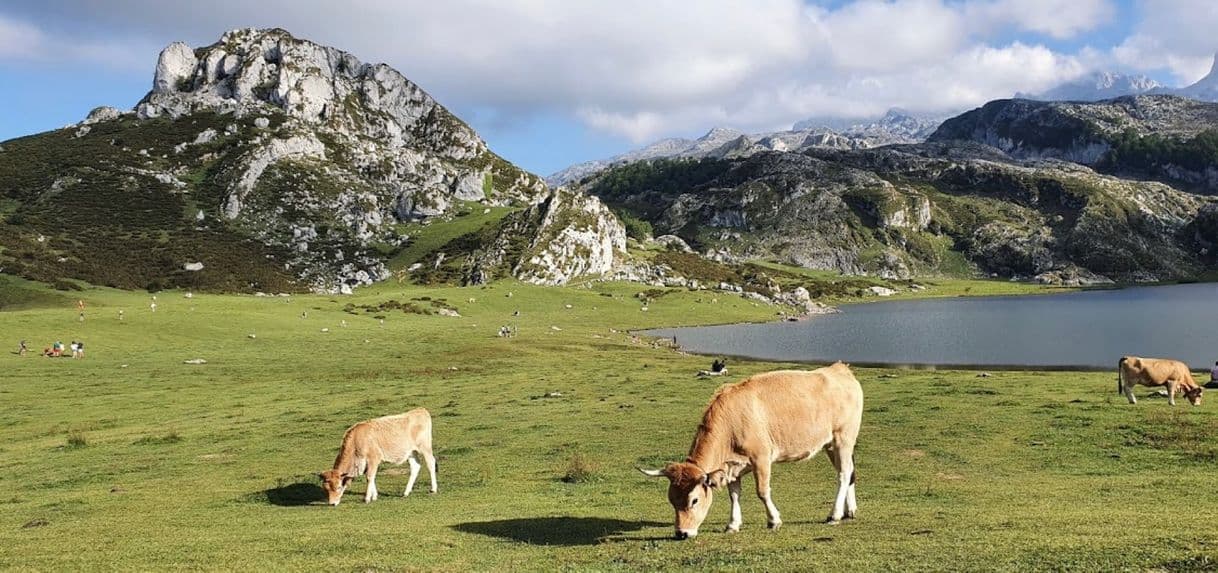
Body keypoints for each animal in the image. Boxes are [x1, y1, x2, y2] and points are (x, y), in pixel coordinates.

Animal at [638, 365, 867, 538]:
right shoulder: (731, 466)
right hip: (830, 444)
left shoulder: (761, 458)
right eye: (671, 500)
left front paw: (774, 520)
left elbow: (762, 491)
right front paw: (733, 524)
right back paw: (849, 511)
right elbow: (734, 495)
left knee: (843, 474)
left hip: (844, 438)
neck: (731, 422)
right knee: (849, 472)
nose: (682, 533)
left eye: (694, 500)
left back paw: (834, 515)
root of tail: (839, 368)